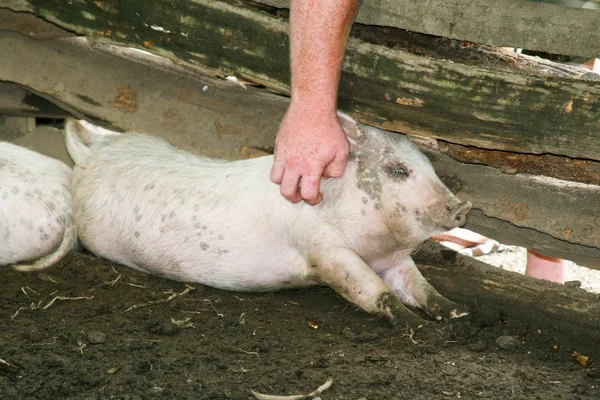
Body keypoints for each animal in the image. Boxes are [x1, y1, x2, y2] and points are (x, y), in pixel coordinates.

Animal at [67, 114, 474, 326]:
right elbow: (371, 288)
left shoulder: (395, 261)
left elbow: (420, 287)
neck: (376, 245)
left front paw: (461, 315)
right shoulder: (323, 250)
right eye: (398, 170)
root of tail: (92, 154)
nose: (462, 208)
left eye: (429, 166)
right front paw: (420, 329)